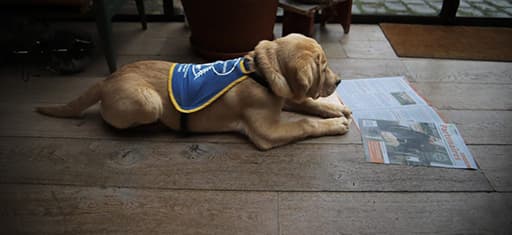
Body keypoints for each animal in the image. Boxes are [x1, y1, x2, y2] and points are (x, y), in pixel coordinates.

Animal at [37, 34, 352, 150]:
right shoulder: (267, 131)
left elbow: (308, 104)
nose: (339, 81)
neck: (262, 73)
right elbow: (305, 123)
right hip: (148, 103)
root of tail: (107, 79)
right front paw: (336, 123)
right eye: (323, 67)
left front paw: (336, 109)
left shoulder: (282, 96)